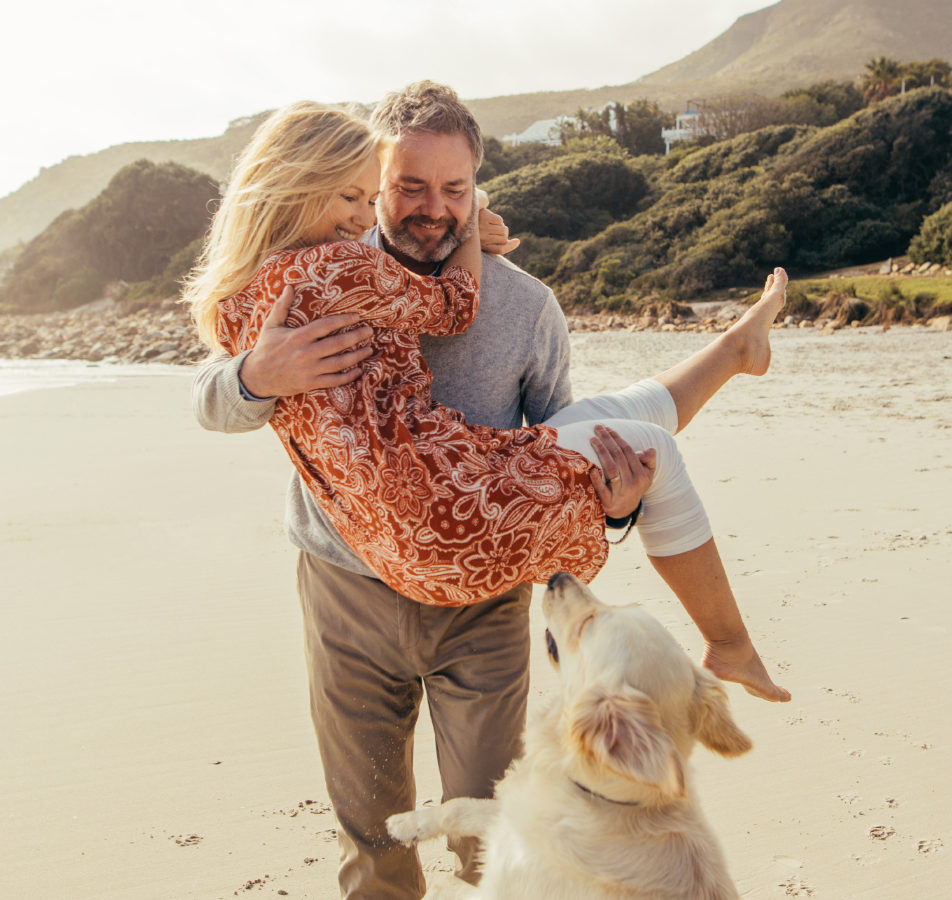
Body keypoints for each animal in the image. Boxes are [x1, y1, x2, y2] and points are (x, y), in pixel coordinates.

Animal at [384, 572, 752, 896]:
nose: (559, 576)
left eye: (588, 622)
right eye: (621, 605)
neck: (597, 794)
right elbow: (460, 806)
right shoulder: (512, 819)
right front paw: (405, 823)